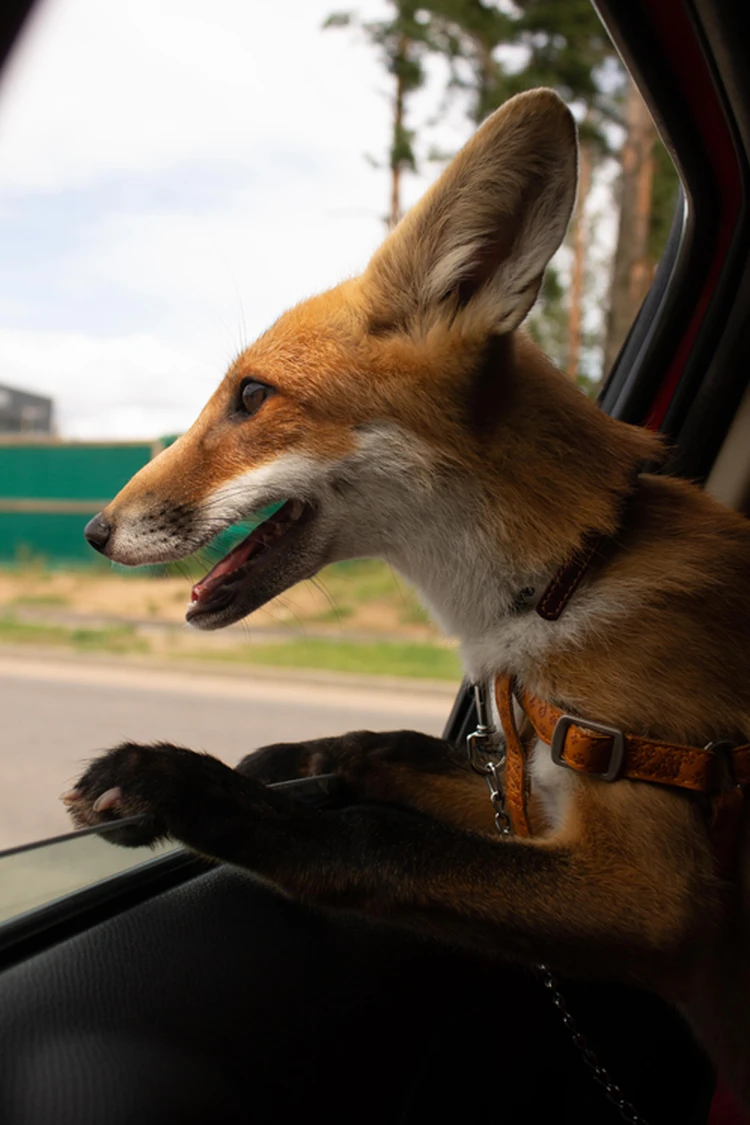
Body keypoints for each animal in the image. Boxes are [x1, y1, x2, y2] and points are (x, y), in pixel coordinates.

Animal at [64, 87, 750, 1107]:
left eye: (250, 396)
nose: (93, 531)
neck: (571, 577)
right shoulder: (524, 798)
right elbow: (375, 752)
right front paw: (281, 757)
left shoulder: (648, 892)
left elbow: (371, 839)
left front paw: (184, 782)